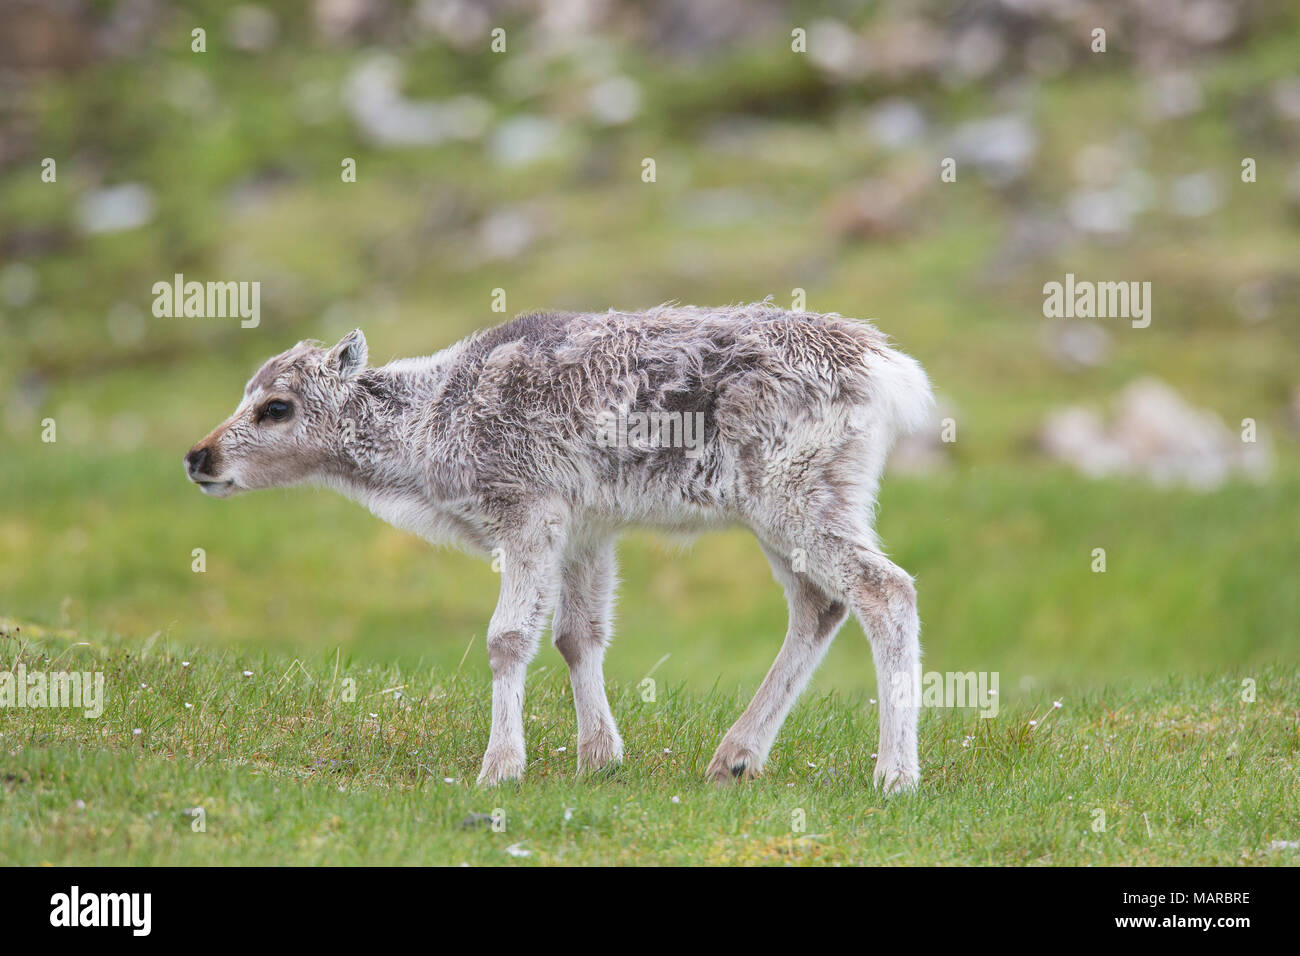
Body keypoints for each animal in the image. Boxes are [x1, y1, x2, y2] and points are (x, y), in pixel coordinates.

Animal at [185, 304, 935, 790]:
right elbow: (579, 634)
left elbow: (508, 637)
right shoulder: (588, 528)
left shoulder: (529, 511)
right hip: (788, 509)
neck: (430, 425)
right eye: (245, 391)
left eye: (276, 407)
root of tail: (888, 368)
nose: (199, 456)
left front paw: (500, 769)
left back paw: (895, 774)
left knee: (885, 590)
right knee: (819, 605)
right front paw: (598, 757)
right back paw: (735, 757)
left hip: (796, 496)